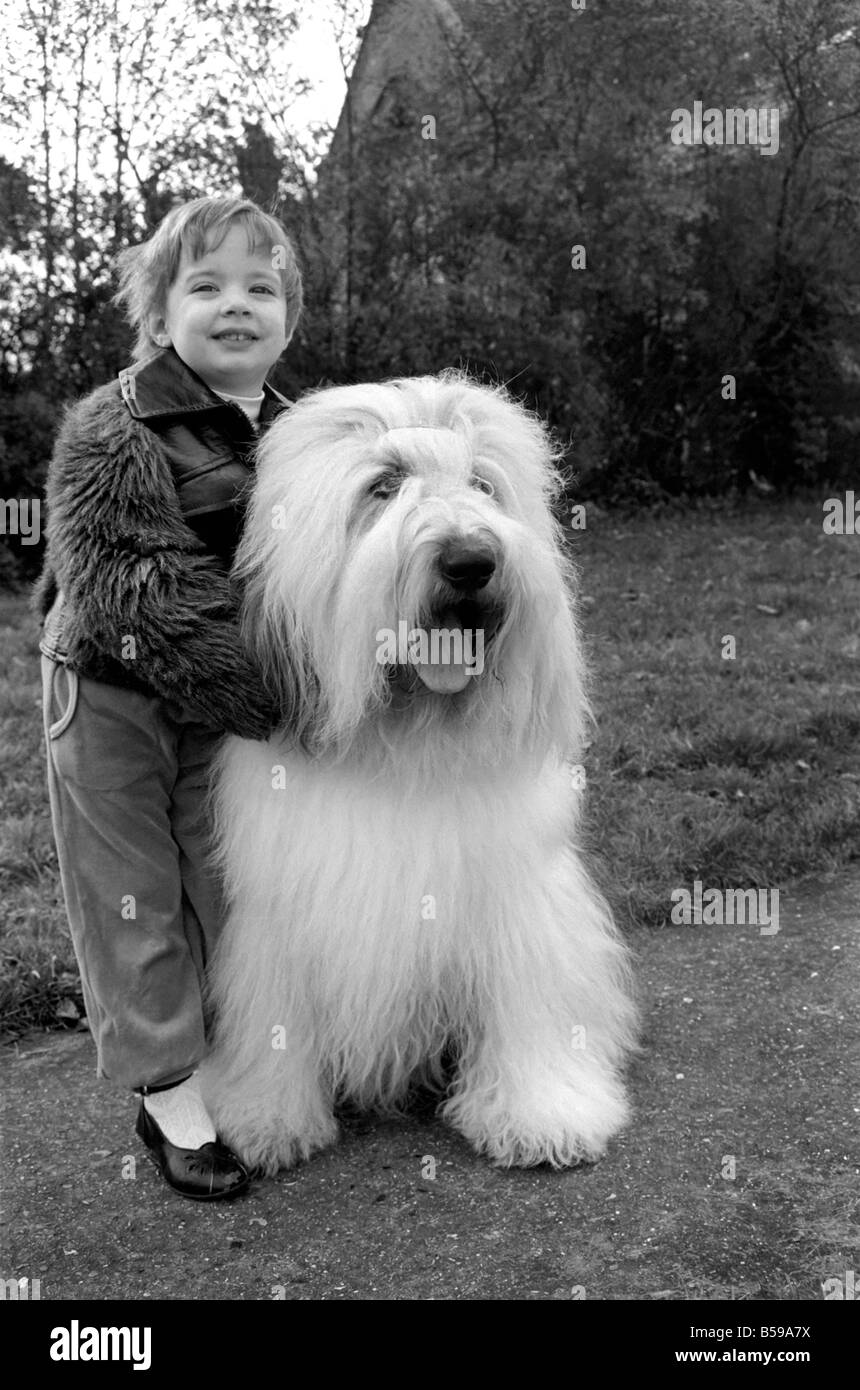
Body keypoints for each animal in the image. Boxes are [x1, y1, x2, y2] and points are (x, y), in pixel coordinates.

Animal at [200, 372, 633, 1173]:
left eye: (484, 484)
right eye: (383, 485)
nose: (470, 561)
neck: (407, 741)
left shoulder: (514, 900)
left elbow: (524, 1002)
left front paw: (539, 1113)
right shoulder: (281, 908)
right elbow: (276, 1015)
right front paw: (267, 1116)